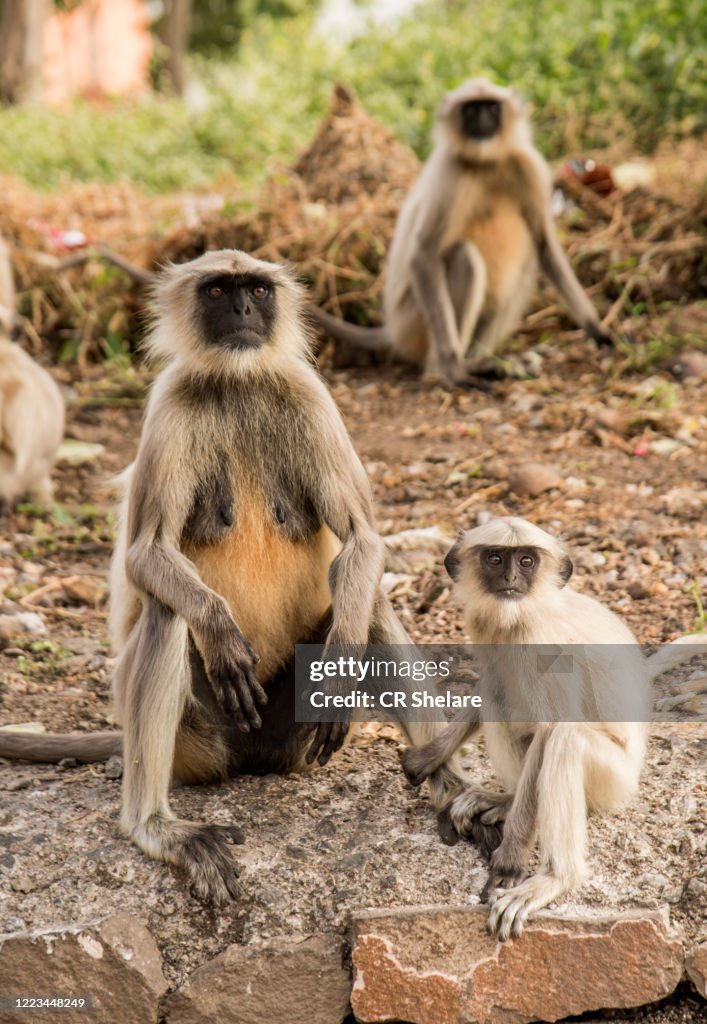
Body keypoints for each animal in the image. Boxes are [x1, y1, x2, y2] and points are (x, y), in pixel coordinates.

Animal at [0, 247, 471, 905]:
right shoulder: (169, 404)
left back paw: (451, 791)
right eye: (220, 291)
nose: (245, 310)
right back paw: (153, 826)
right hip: (198, 745)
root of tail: (253, 757)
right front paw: (220, 631)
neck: (239, 381)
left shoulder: (309, 395)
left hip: (292, 735)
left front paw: (343, 666)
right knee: (168, 611)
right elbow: (145, 556)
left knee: (369, 605)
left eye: (257, 290)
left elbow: (362, 539)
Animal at [309, 75, 610, 387]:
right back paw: (445, 369)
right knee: (464, 257)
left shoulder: (528, 168)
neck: (486, 163)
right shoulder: (451, 174)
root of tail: (393, 328)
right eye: (471, 109)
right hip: (415, 322)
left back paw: (485, 362)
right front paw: (454, 369)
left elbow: (544, 244)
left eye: (491, 107)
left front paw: (598, 331)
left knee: (526, 265)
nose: (481, 120)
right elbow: (424, 254)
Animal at [401, 520, 704, 942]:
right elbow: (489, 682)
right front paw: (430, 756)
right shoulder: (486, 625)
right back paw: (507, 799)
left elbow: (551, 727)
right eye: (495, 558)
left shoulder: (543, 639)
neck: (525, 611)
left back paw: (557, 877)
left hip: (616, 782)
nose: (511, 578)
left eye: (527, 561)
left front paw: (511, 862)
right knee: (498, 692)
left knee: (565, 738)